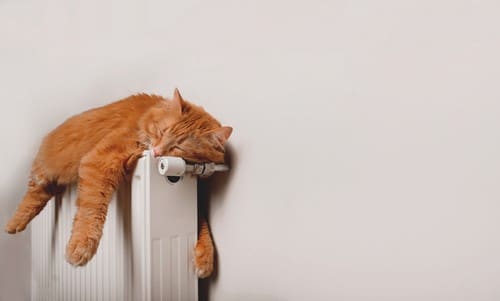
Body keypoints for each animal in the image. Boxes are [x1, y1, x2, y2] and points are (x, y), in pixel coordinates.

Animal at [4, 88, 231, 276]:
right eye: (162, 132)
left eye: (179, 147)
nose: (157, 152)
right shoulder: (98, 161)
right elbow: (91, 211)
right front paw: (81, 245)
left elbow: (201, 220)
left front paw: (205, 257)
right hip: (43, 175)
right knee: (31, 197)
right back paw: (13, 224)